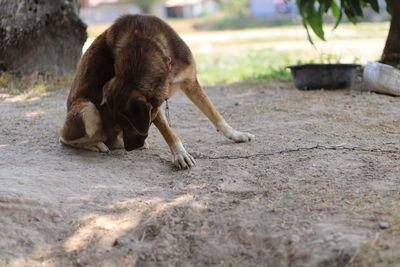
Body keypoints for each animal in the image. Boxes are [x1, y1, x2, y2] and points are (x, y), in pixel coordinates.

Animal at [59, 14, 253, 169]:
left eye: (128, 124)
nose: (131, 149)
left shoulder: (190, 83)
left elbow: (214, 114)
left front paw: (235, 134)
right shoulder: (154, 105)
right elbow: (168, 130)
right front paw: (180, 154)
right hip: (88, 110)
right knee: (64, 138)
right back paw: (96, 144)